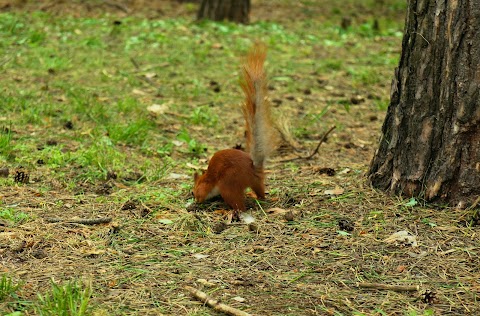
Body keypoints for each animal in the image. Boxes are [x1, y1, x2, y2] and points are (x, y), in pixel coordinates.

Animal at [193, 43, 276, 211]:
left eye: (194, 191)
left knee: (239, 205)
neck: (207, 178)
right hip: (255, 183)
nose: (195, 198)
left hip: (229, 183)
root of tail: (253, 168)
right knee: (260, 192)